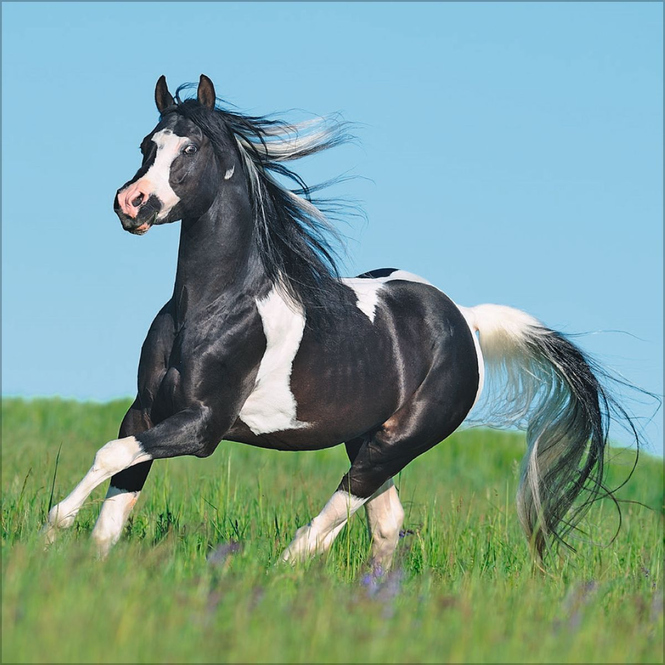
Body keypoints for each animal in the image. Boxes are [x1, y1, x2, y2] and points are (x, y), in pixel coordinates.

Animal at [44, 74, 643, 569]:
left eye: (189, 147)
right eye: (147, 145)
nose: (132, 203)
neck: (213, 308)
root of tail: (464, 320)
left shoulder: (203, 426)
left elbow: (111, 456)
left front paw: (53, 526)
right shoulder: (146, 410)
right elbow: (119, 484)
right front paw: (75, 555)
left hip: (397, 442)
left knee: (333, 519)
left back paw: (281, 573)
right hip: (366, 439)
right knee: (385, 523)